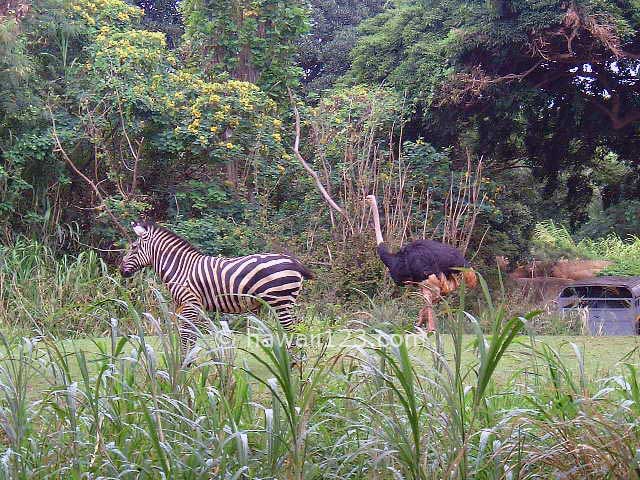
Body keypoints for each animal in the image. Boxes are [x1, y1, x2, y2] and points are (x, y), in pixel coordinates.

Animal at [119, 220, 314, 352]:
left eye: (134, 247)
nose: (121, 271)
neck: (181, 268)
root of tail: (294, 261)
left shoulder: (189, 303)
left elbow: (185, 336)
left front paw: (183, 366)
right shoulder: (192, 307)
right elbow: (192, 336)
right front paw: (189, 362)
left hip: (279, 301)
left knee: (293, 332)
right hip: (285, 302)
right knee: (299, 329)